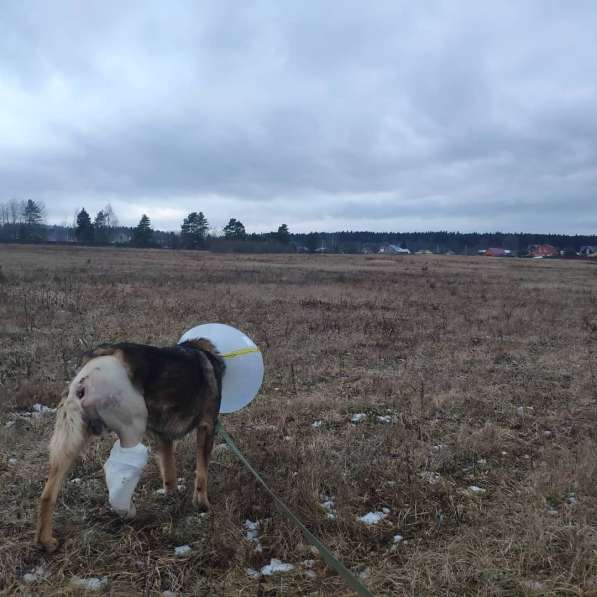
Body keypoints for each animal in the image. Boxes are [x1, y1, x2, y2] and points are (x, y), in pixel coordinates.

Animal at [35, 338, 226, 552]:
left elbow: (169, 472)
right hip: (131, 429)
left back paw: (45, 541)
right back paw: (127, 511)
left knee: (48, 493)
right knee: (121, 472)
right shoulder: (207, 427)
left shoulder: (163, 437)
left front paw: (171, 496)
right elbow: (201, 474)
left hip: (69, 441)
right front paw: (202, 506)